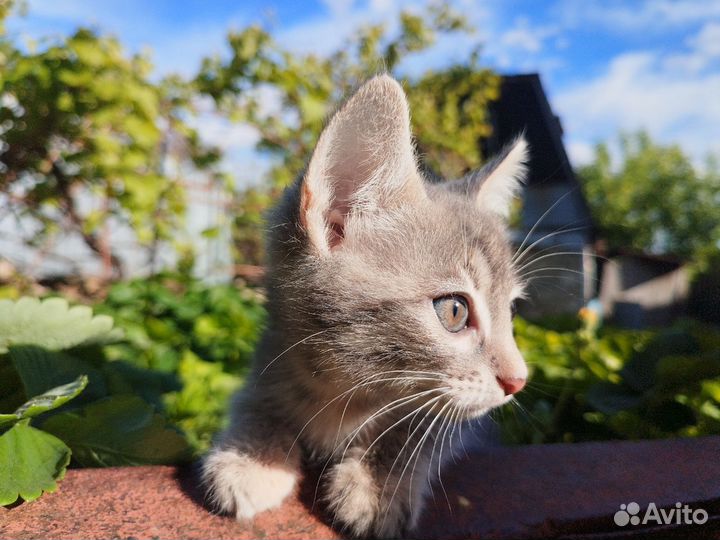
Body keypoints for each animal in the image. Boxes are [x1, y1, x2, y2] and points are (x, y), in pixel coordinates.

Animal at [202, 74, 528, 536]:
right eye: (454, 311)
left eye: (510, 312)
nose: (518, 381)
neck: (341, 390)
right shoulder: (274, 355)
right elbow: (254, 400)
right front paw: (252, 459)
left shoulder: (468, 423)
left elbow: (425, 428)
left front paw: (377, 484)